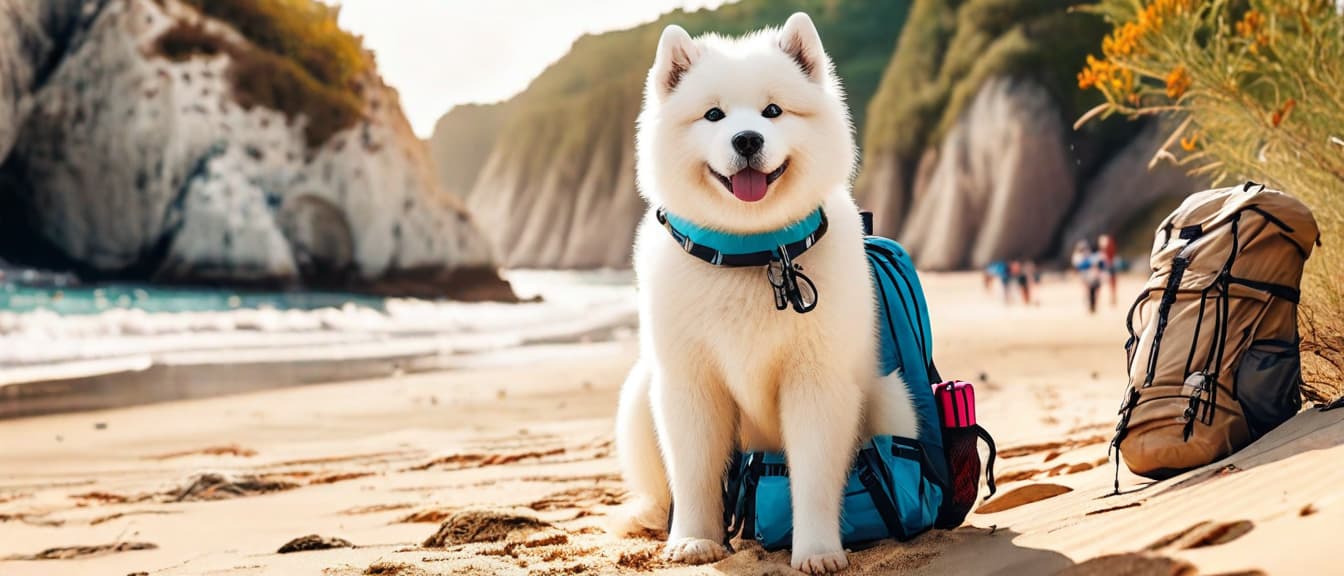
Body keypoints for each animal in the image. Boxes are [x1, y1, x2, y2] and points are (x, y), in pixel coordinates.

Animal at [615, 11, 919, 571]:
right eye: (713, 115)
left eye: (773, 111)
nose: (747, 140)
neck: (752, 253)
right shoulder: (690, 383)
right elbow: (693, 473)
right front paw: (695, 539)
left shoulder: (816, 382)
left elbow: (815, 478)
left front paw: (818, 551)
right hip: (638, 396)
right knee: (660, 489)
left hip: (891, 398)